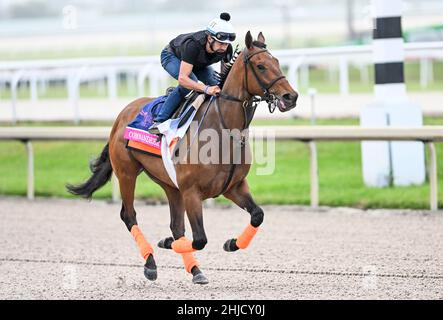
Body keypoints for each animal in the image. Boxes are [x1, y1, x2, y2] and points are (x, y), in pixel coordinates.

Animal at [67, 31, 298, 284]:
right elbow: (200, 239)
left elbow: (257, 215)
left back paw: (195, 270)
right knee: (129, 215)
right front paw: (166, 244)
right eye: (261, 66)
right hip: (127, 173)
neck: (223, 128)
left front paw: (230, 243)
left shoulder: (233, 186)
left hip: (169, 184)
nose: (291, 96)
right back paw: (151, 263)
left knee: (176, 225)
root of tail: (122, 115)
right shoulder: (191, 191)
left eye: (277, 62)